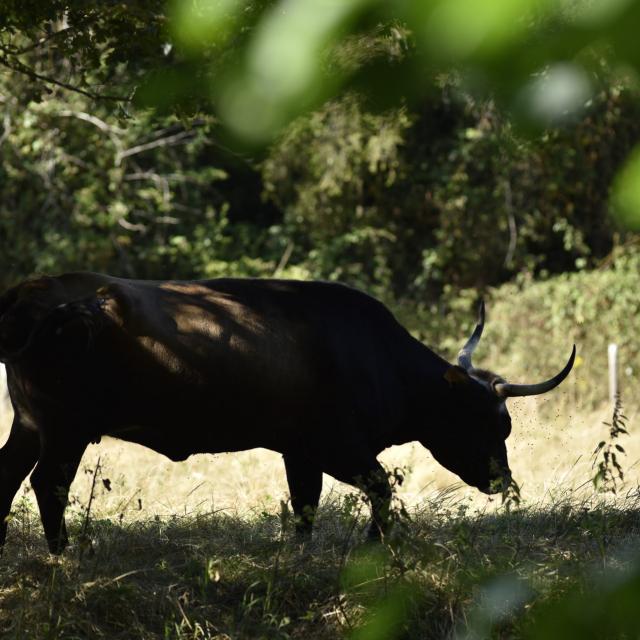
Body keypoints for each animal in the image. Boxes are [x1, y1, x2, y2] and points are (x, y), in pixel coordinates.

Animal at [0, 272, 576, 552]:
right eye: (485, 420)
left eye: (505, 424)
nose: (502, 480)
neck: (375, 356)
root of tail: (34, 292)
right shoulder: (336, 446)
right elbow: (380, 488)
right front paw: (375, 543)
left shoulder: (299, 452)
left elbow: (306, 509)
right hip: (66, 429)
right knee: (48, 484)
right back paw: (66, 554)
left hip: (30, 424)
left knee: (9, 477)